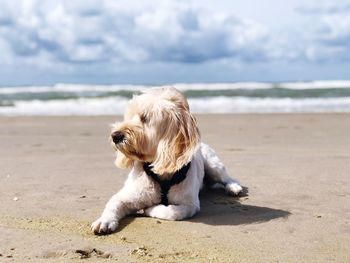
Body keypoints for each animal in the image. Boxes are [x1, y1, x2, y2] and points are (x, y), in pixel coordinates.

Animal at [91, 87, 242, 235]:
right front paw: (104, 221)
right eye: (128, 116)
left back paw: (234, 187)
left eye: (145, 118)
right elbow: (113, 203)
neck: (161, 174)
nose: (115, 136)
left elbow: (171, 212)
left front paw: (150, 208)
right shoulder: (127, 195)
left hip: (213, 165)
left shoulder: (189, 205)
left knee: (228, 178)